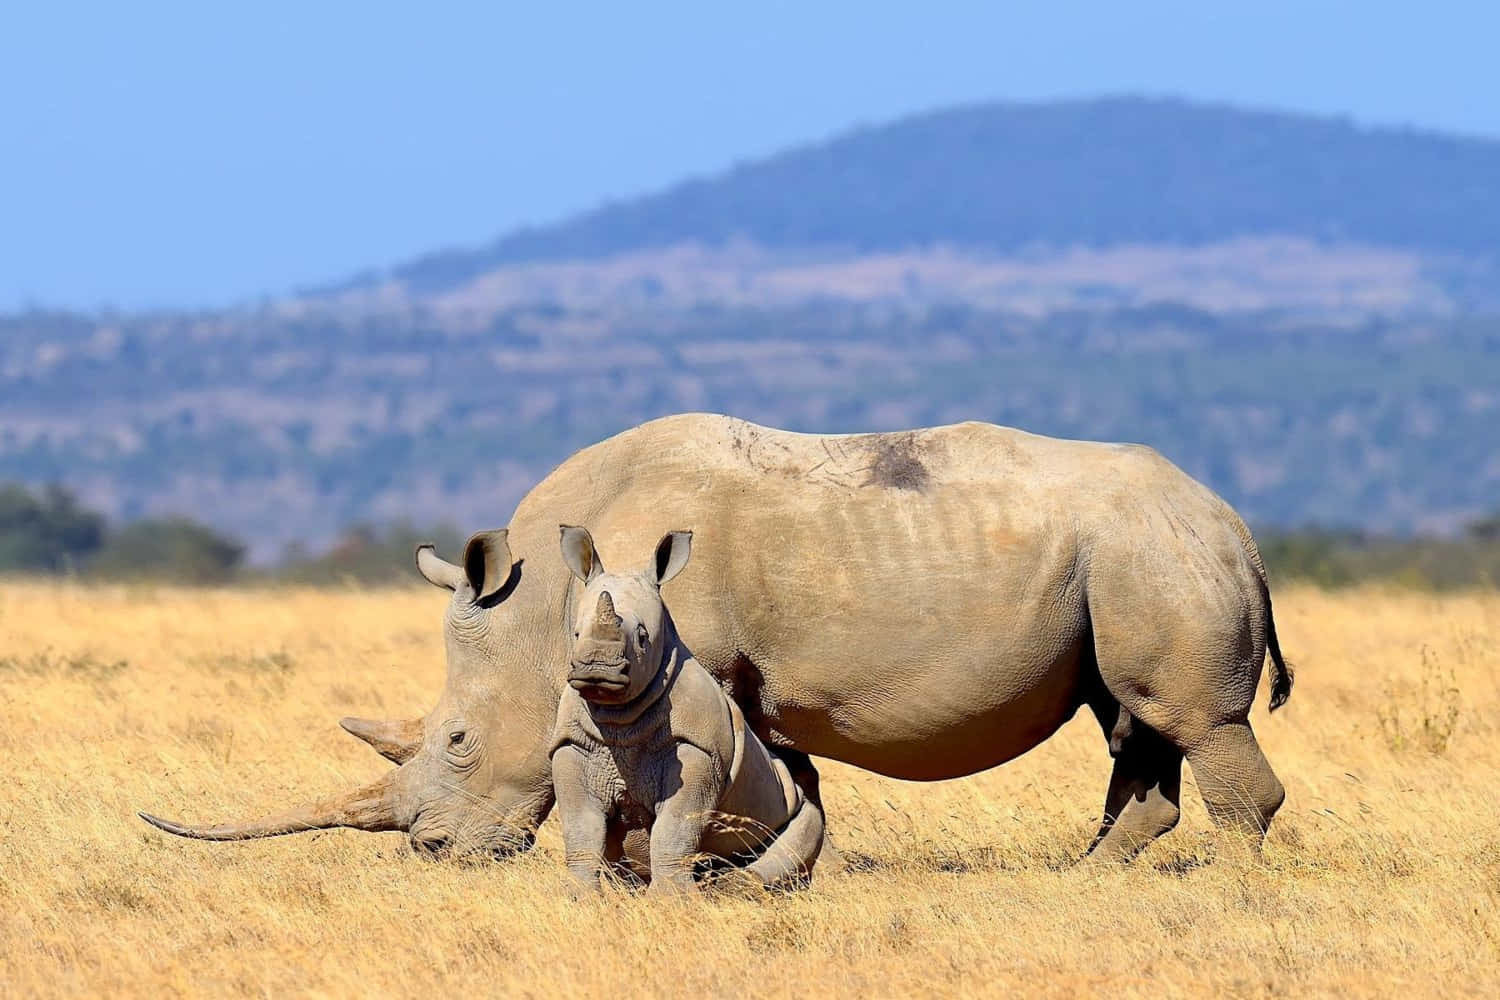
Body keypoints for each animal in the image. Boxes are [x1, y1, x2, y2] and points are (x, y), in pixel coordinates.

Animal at [549, 527, 822, 893]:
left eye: (643, 637)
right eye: (577, 633)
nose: (596, 670)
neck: (617, 714)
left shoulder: (698, 748)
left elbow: (675, 827)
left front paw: (669, 899)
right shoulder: (573, 744)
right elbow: (581, 826)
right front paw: (578, 896)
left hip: (793, 802)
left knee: (804, 827)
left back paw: (730, 888)